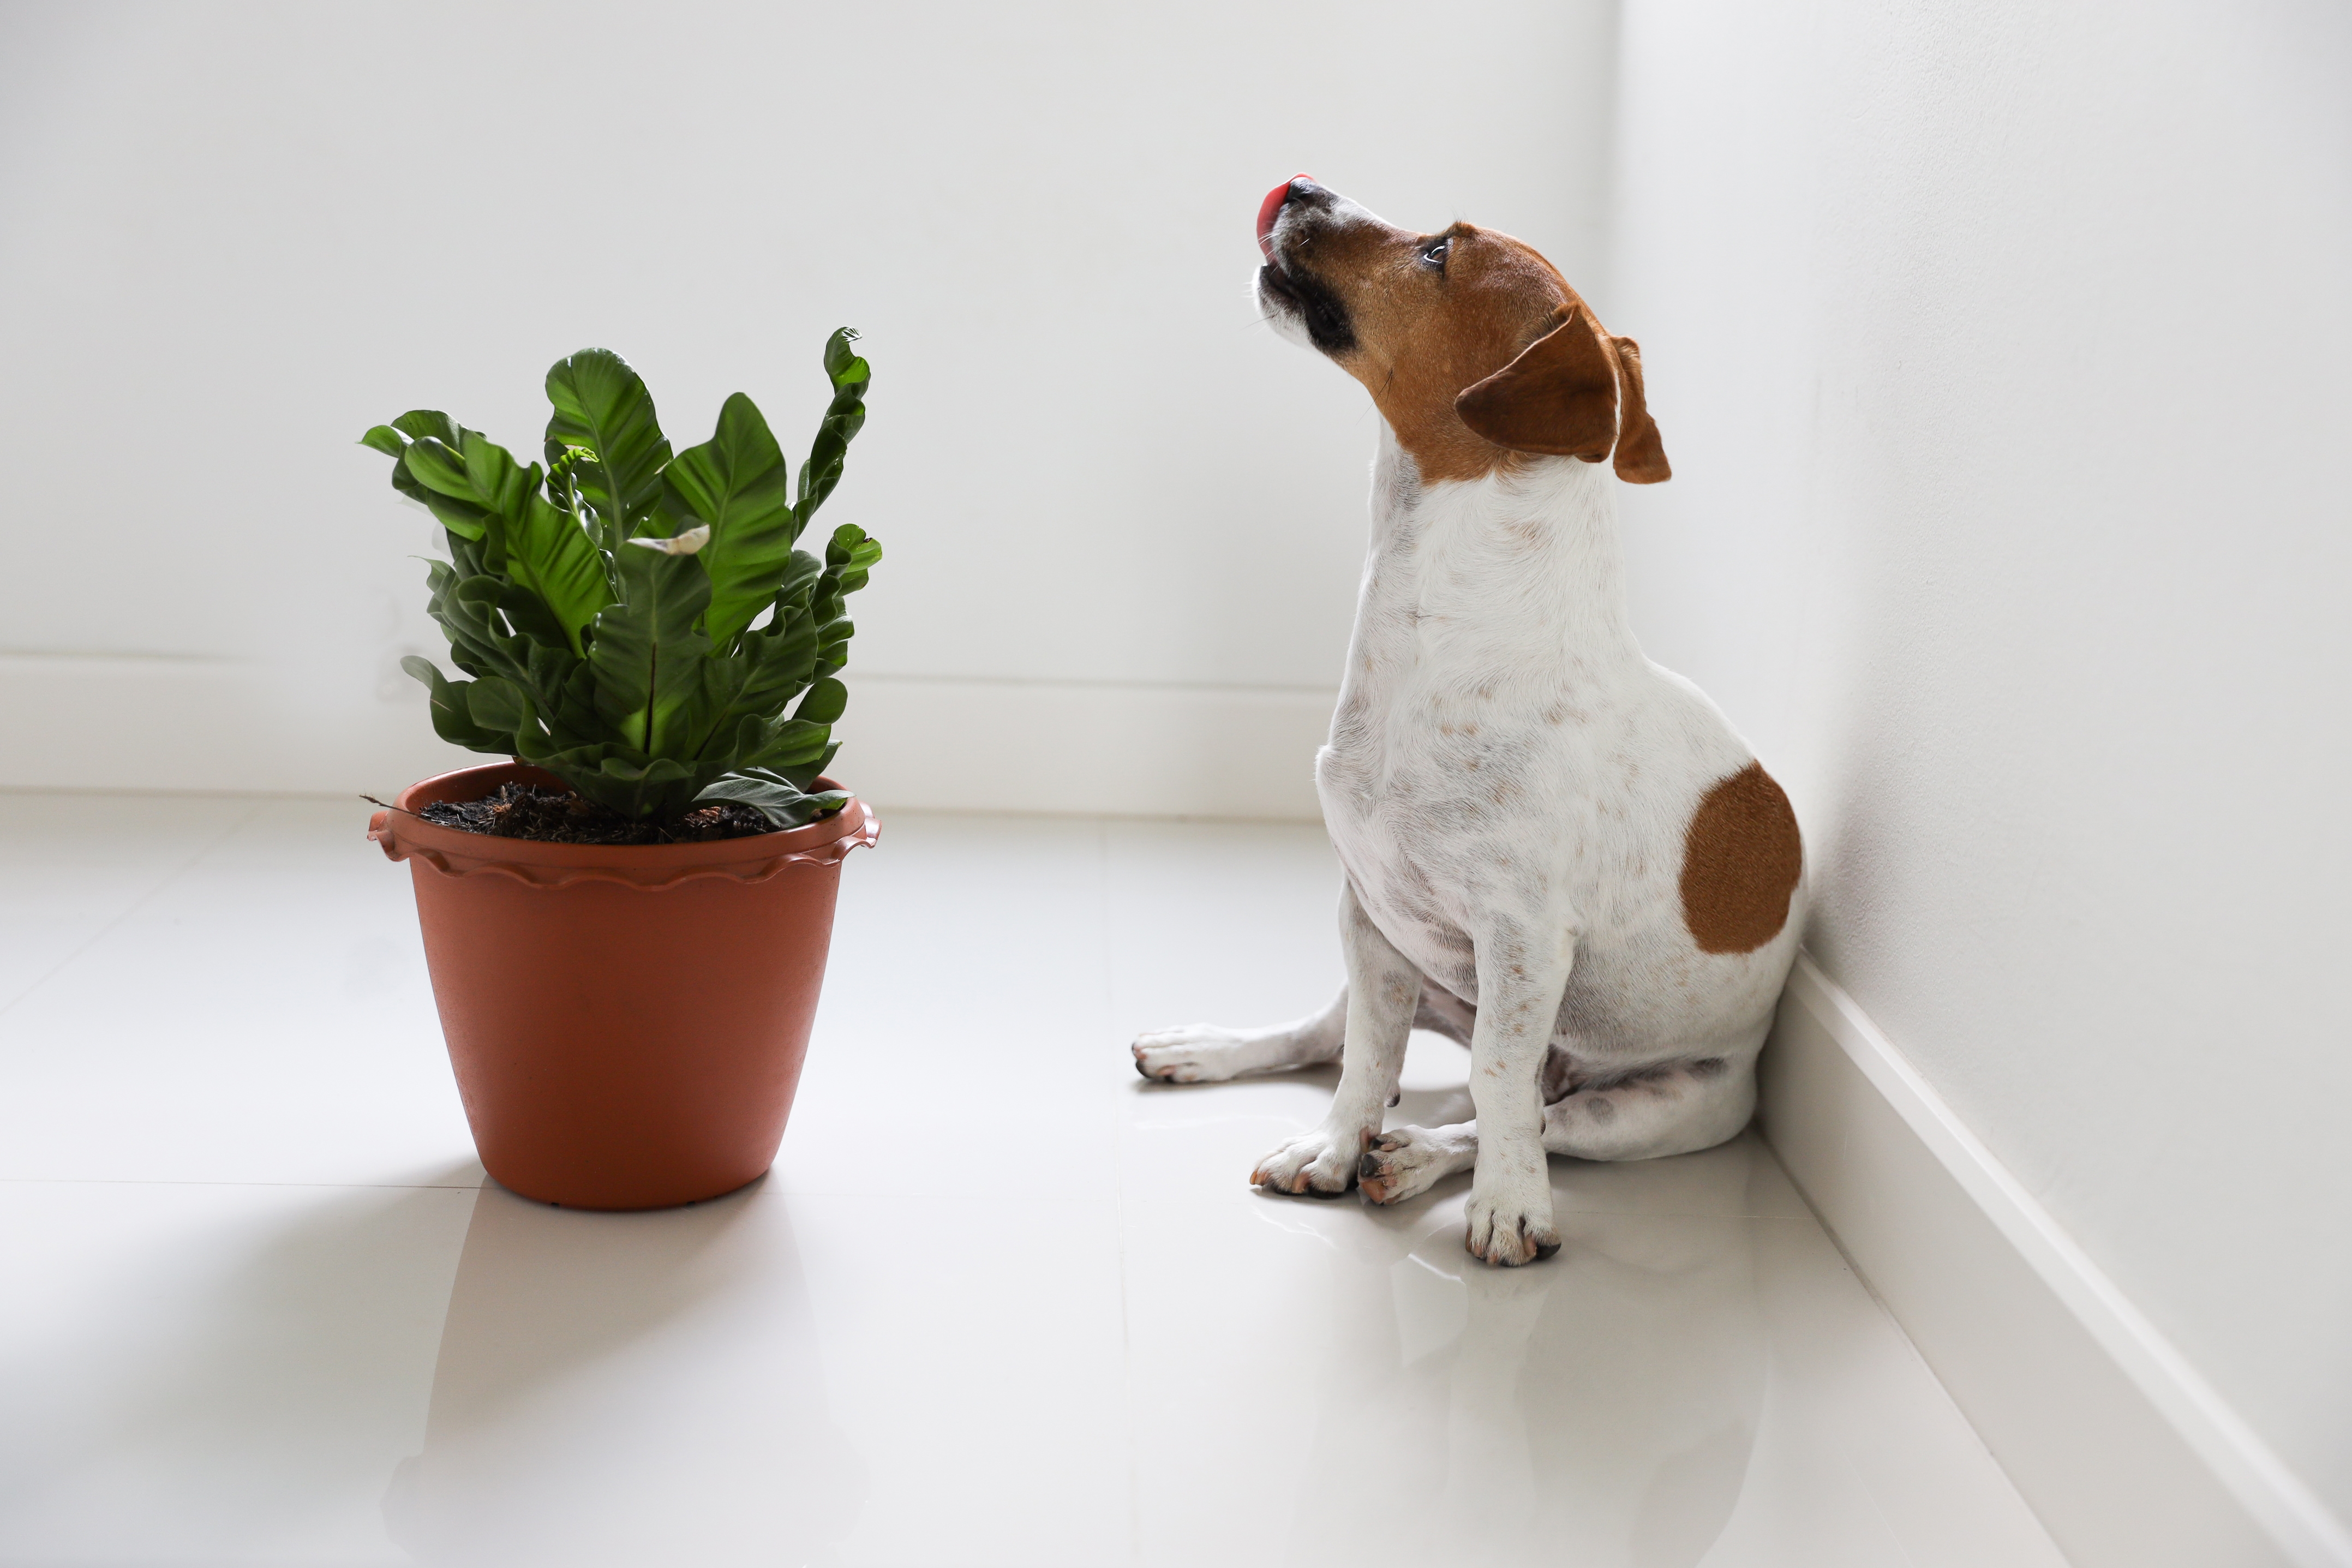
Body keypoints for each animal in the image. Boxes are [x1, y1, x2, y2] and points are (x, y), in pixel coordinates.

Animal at [1129, 177, 1806, 1269]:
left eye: (1438, 252)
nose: (1299, 184)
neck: (1438, 641)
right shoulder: (1370, 911)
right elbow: (1366, 1058)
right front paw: (1330, 1147)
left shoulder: (1523, 937)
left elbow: (1495, 1080)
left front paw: (1505, 1206)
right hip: (1418, 966)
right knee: (1330, 1036)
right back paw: (1215, 1050)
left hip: (1659, 1107)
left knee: (1529, 1112)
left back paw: (1421, 1157)